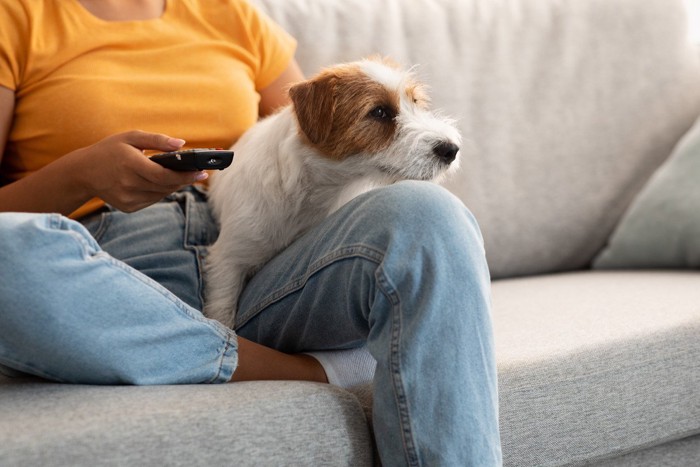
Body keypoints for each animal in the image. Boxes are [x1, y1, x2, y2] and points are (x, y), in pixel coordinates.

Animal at [205, 58, 462, 330]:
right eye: (379, 112)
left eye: (415, 102)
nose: (451, 149)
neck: (314, 194)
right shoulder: (228, 261)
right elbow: (222, 312)